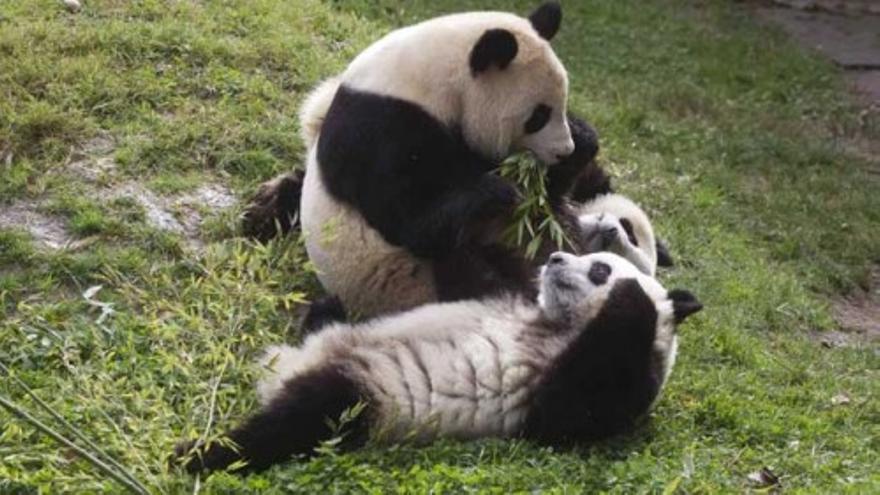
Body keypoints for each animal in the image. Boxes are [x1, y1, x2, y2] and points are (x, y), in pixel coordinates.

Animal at [175, 250, 704, 474]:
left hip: (365, 400)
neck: (558, 322)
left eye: (598, 267)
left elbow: (570, 411)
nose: (554, 258)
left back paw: (197, 453)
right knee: (326, 328)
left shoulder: (598, 392)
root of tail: (288, 366)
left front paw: (634, 293)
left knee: (295, 423)